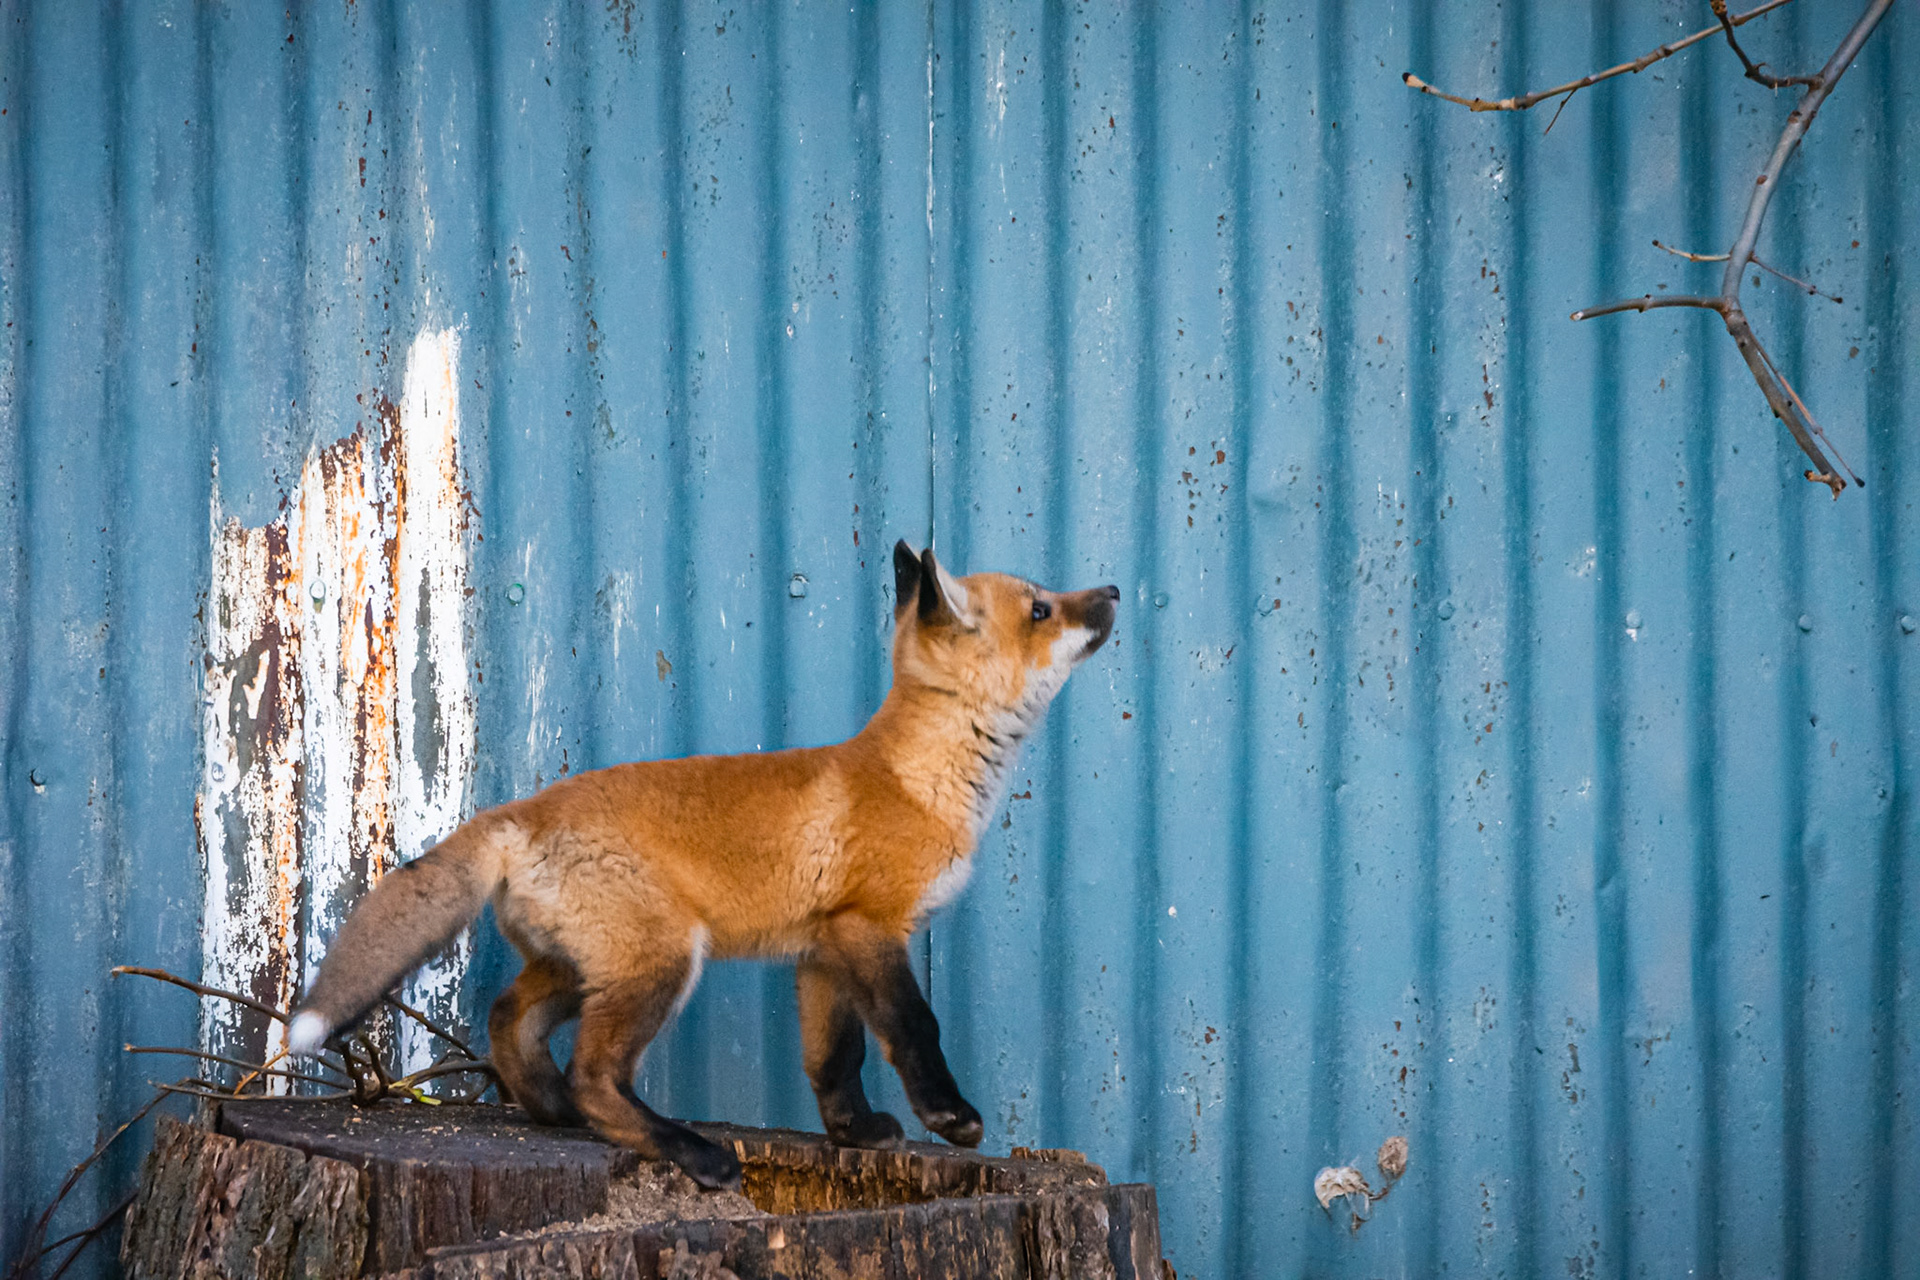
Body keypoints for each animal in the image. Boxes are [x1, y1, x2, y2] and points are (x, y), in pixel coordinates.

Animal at [287, 540, 1117, 1191]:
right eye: (1041, 609)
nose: (1110, 592)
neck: (918, 780)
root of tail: (524, 811)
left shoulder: (824, 949)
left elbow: (834, 1059)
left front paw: (854, 1134)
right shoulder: (872, 927)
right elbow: (915, 1027)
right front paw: (951, 1117)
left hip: (584, 966)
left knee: (508, 1019)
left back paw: (554, 1112)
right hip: (662, 961)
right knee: (596, 1075)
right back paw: (685, 1149)